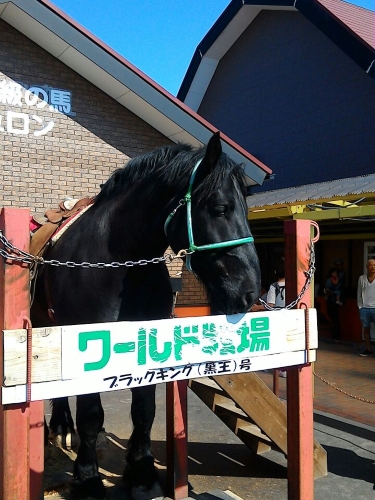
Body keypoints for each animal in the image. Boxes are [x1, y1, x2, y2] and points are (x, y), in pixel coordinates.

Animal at [31, 131, 262, 498]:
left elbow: (144, 411)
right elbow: (92, 417)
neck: (119, 260)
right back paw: (63, 427)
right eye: (220, 208)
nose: (249, 291)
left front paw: (141, 472)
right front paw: (88, 478)